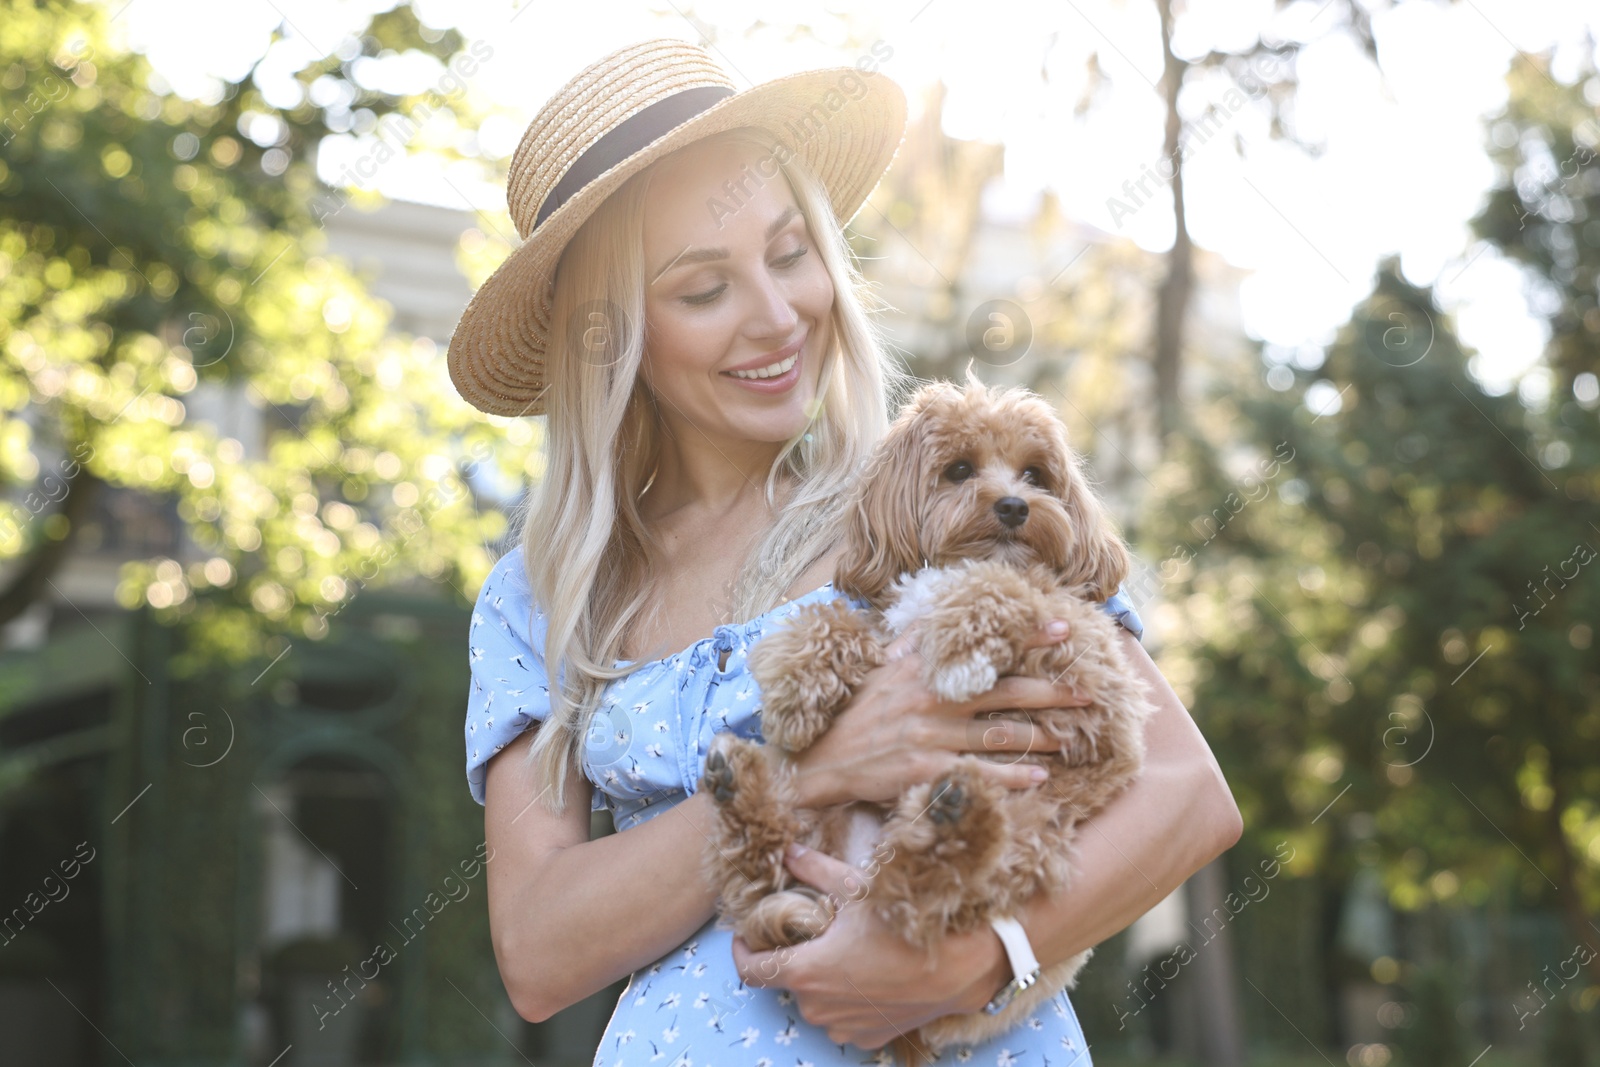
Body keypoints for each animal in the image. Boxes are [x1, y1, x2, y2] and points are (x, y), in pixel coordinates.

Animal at [700, 379, 1152, 1062]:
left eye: (1036, 474)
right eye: (959, 470)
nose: (1015, 506)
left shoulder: (1096, 686)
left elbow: (1008, 589)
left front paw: (963, 649)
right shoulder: (886, 631)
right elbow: (834, 621)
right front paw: (799, 688)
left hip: (1030, 829)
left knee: (923, 900)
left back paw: (952, 819)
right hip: (821, 824)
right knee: (761, 868)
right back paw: (740, 785)